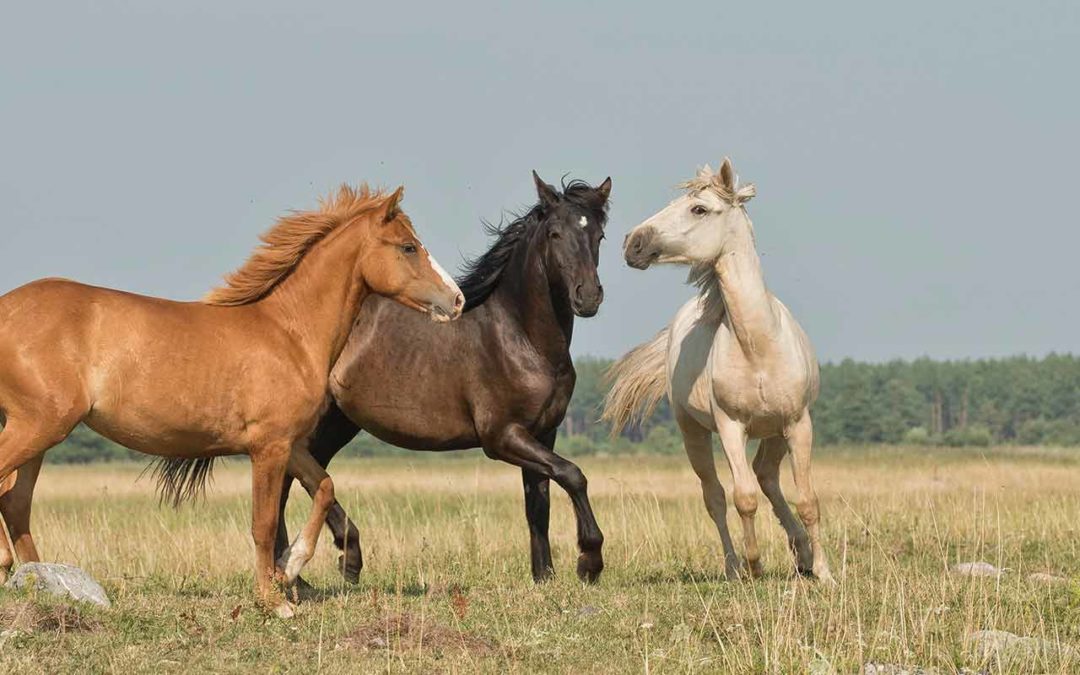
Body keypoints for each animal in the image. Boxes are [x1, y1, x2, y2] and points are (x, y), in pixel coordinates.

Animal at [0, 185, 460, 617]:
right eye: (408, 247)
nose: (455, 300)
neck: (288, 333)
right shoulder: (268, 448)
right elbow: (264, 523)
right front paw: (274, 601)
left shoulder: (288, 444)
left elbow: (325, 488)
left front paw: (290, 566)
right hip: (39, 425)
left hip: (40, 435)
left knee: (15, 501)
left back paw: (41, 582)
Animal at [163, 170, 613, 583]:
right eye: (554, 233)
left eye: (600, 235)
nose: (588, 297)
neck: (519, 337)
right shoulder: (502, 436)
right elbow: (573, 475)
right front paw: (589, 561)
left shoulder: (542, 433)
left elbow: (539, 502)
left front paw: (545, 576)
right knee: (292, 482)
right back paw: (329, 563)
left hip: (334, 425)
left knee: (296, 480)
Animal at [604, 157, 829, 578]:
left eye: (699, 209)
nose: (632, 242)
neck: (758, 347)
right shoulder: (730, 427)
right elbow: (743, 498)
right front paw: (754, 566)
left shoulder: (798, 424)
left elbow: (808, 499)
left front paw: (824, 572)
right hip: (693, 431)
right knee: (716, 496)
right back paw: (734, 566)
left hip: (775, 432)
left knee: (767, 475)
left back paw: (802, 554)